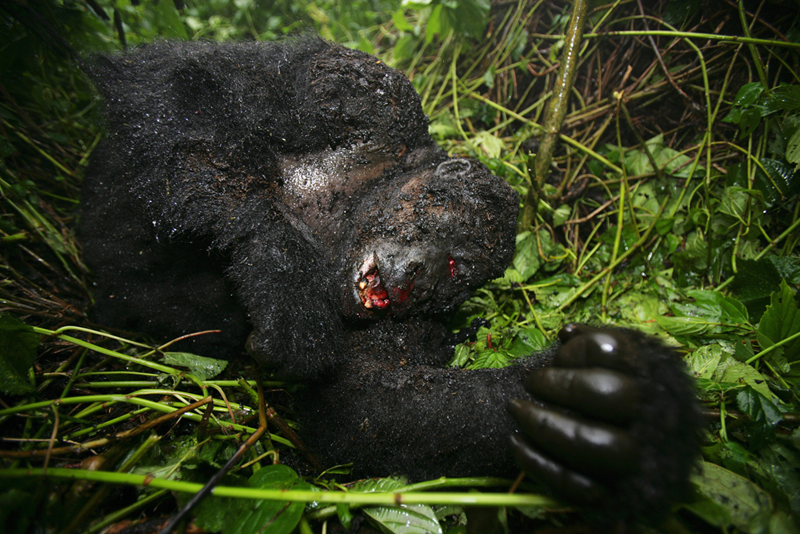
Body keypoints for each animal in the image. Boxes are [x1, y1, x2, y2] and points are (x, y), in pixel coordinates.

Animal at [78, 37, 696, 520]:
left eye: (458, 269)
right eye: (441, 219)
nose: (422, 273)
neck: (351, 211)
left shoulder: (410, 328)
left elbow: (372, 412)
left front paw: (620, 417)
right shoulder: (370, 95)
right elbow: (187, 85)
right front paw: (283, 278)